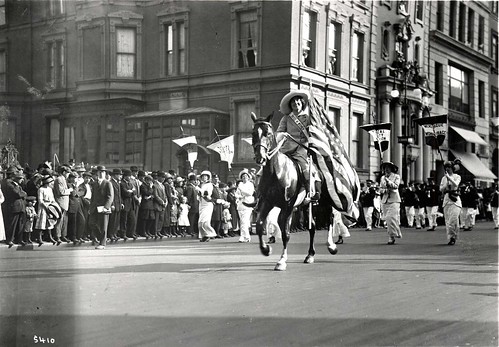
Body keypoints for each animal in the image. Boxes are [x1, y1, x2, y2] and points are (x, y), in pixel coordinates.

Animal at [250, 113, 340, 272]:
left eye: (268, 133)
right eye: (253, 133)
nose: (260, 158)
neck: (277, 171)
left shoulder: (288, 206)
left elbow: (285, 233)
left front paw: (281, 260)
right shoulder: (268, 202)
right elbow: (260, 224)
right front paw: (266, 249)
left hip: (325, 201)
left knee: (330, 219)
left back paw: (331, 245)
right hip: (306, 205)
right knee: (313, 227)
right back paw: (310, 255)